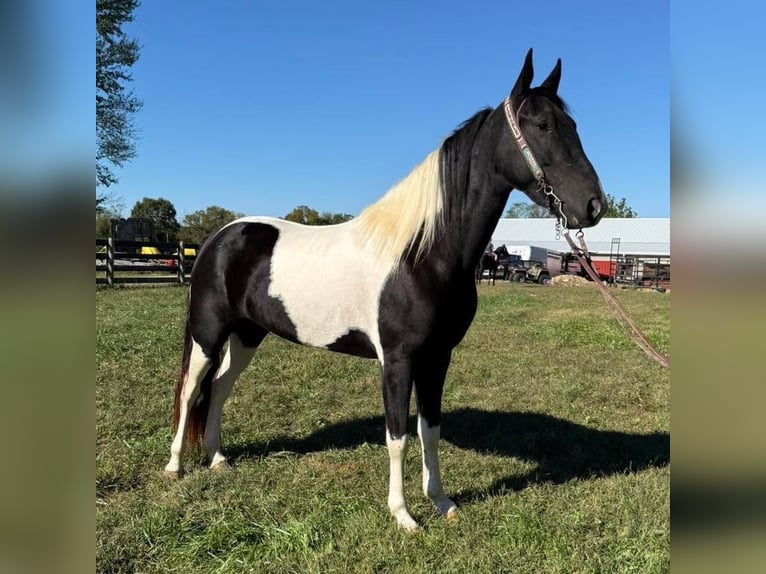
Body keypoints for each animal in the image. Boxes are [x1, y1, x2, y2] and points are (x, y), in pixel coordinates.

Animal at [164, 48, 606, 531]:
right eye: (542, 125)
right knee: (191, 388)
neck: (421, 252)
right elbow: (397, 436)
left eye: (574, 126)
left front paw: (442, 502)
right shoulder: (397, 360)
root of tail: (218, 237)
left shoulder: (437, 357)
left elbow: (430, 429)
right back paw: (175, 466)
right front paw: (404, 515)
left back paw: (217, 458)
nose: (593, 206)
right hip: (209, 333)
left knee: (220, 387)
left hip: (248, 334)